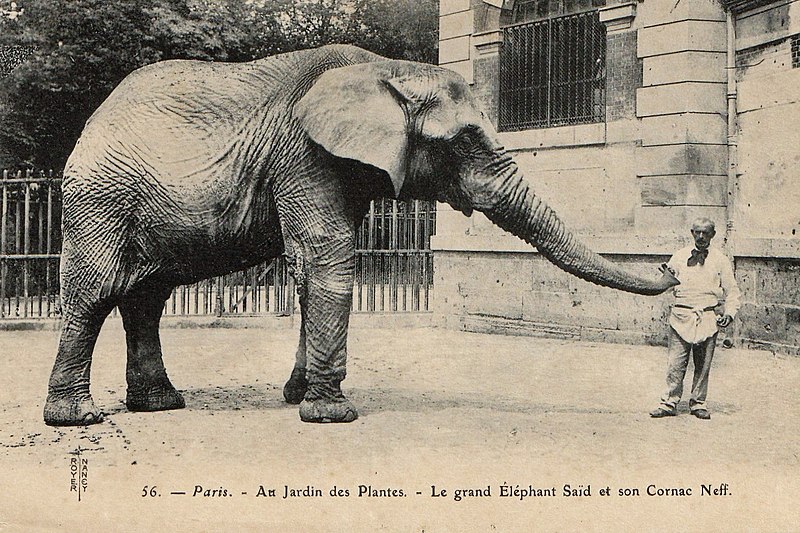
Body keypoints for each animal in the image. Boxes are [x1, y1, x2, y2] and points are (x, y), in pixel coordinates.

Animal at [43, 44, 680, 428]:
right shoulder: (305, 156)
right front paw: (332, 416)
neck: (388, 69)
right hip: (101, 196)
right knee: (95, 291)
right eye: (467, 140)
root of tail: (94, 119)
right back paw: (78, 418)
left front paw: (300, 397)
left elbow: (313, 272)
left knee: (146, 298)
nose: (671, 268)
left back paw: (160, 406)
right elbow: (329, 263)